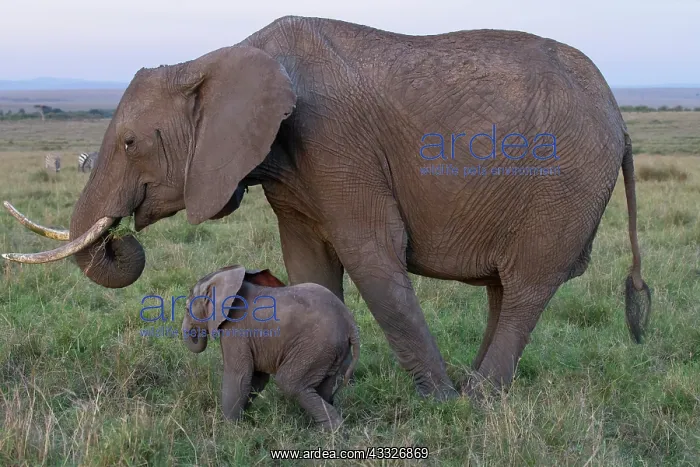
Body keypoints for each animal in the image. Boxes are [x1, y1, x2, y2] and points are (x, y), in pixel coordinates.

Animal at [2, 15, 651, 401]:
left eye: (131, 144)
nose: (121, 239)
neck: (219, 57)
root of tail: (620, 121)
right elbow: (309, 265)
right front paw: (322, 390)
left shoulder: (338, 143)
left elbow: (373, 258)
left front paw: (436, 404)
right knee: (503, 289)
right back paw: (475, 386)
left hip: (563, 189)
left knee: (524, 290)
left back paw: (476, 401)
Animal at [182, 265, 360, 431]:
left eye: (186, 309)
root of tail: (350, 322)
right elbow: (256, 379)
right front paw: (242, 419)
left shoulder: (236, 329)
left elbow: (239, 376)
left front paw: (229, 428)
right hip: (331, 351)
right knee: (323, 385)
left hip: (315, 347)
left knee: (289, 383)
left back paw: (331, 430)